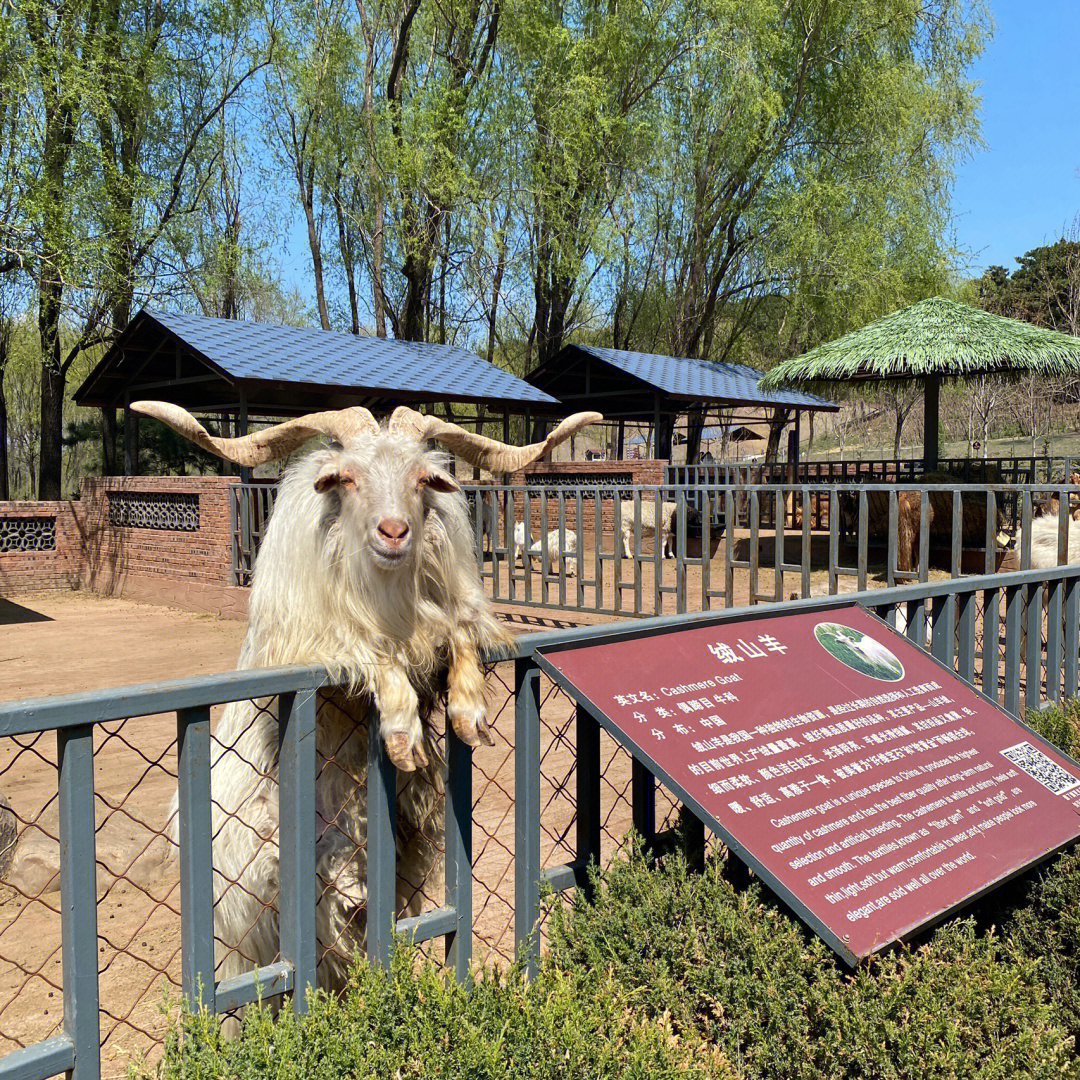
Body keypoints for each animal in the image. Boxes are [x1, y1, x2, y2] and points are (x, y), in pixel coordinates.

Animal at [133, 399, 600, 1002]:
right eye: (346, 478)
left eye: (424, 479)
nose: (394, 532)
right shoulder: (314, 643)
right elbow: (376, 660)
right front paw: (403, 739)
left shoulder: (445, 616)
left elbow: (460, 635)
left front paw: (470, 715)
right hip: (254, 922)